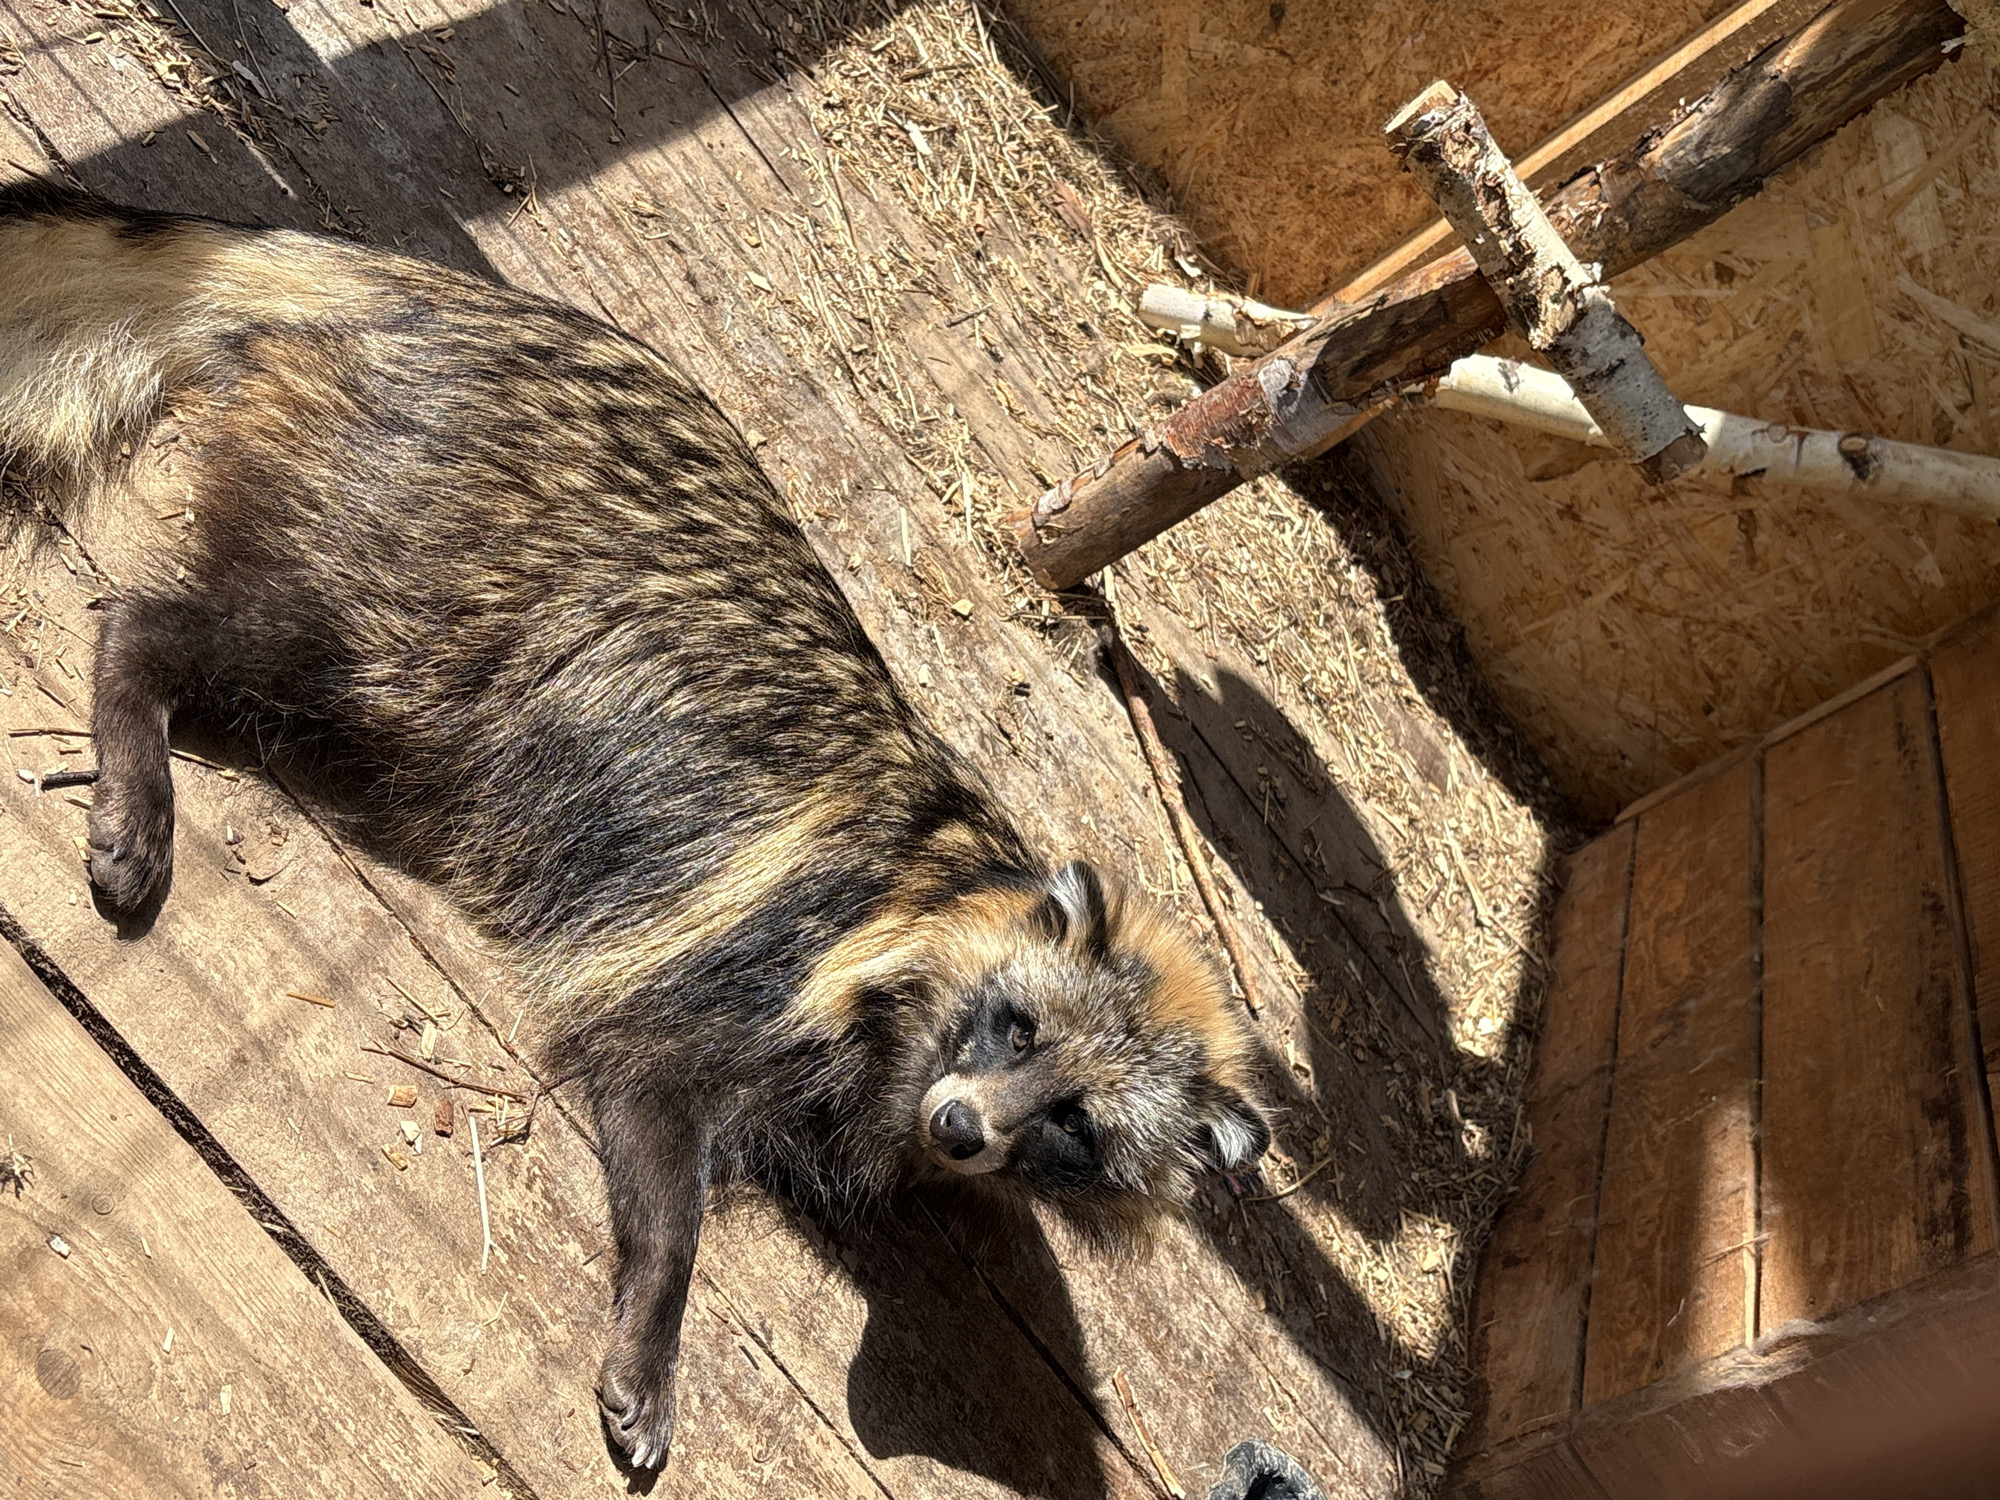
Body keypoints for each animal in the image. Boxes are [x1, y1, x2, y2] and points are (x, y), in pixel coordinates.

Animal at [0, 184, 1270, 1470]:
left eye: (1073, 1126)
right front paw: (658, 1313)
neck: (957, 895)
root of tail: (465, 303)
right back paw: (138, 704)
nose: (961, 1130)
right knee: (217, 628)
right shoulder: (742, 969)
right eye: (1014, 1025)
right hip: (414, 560)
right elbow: (657, 1121)